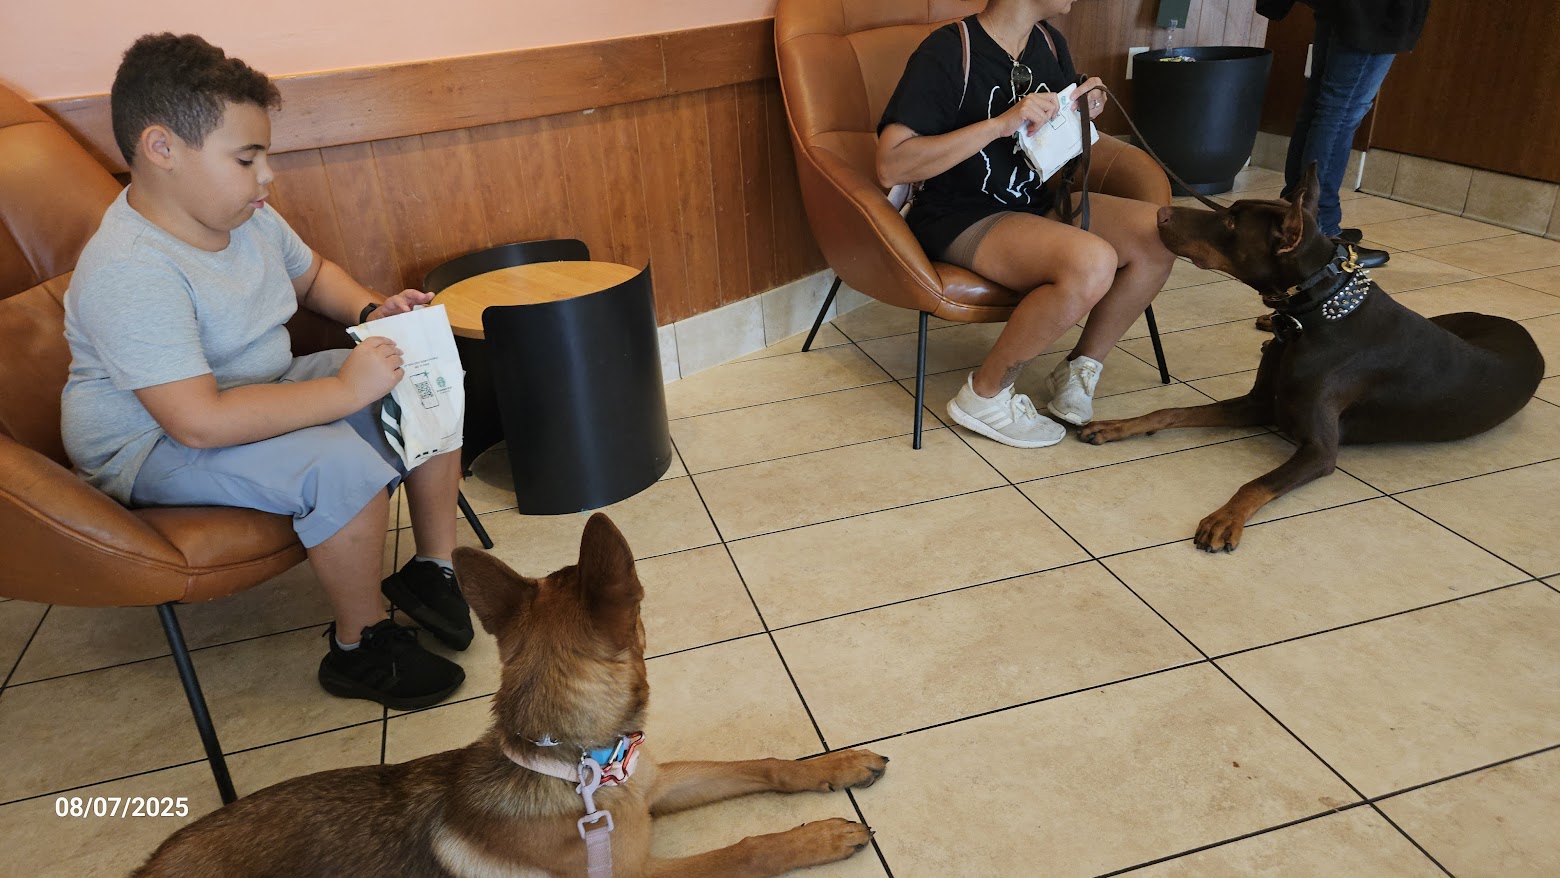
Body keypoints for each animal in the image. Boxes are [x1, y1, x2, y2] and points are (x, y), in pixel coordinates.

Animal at [134, 513, 887, 877]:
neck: (577, 769)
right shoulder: (644, 877)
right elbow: (746, 850)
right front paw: (819, 836)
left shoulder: (653, 783)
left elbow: (767, 765)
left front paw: (837, 765)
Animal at [1078, 165, 1545, 552]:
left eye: (1230, 222)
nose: (1159, 214)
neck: (1314, 315)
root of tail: (1523, 331)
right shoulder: (1259, 404)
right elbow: (1171, 410)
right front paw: (1118, 425)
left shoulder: (1319, 450)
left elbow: (1256, 483)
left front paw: (1224, 519)